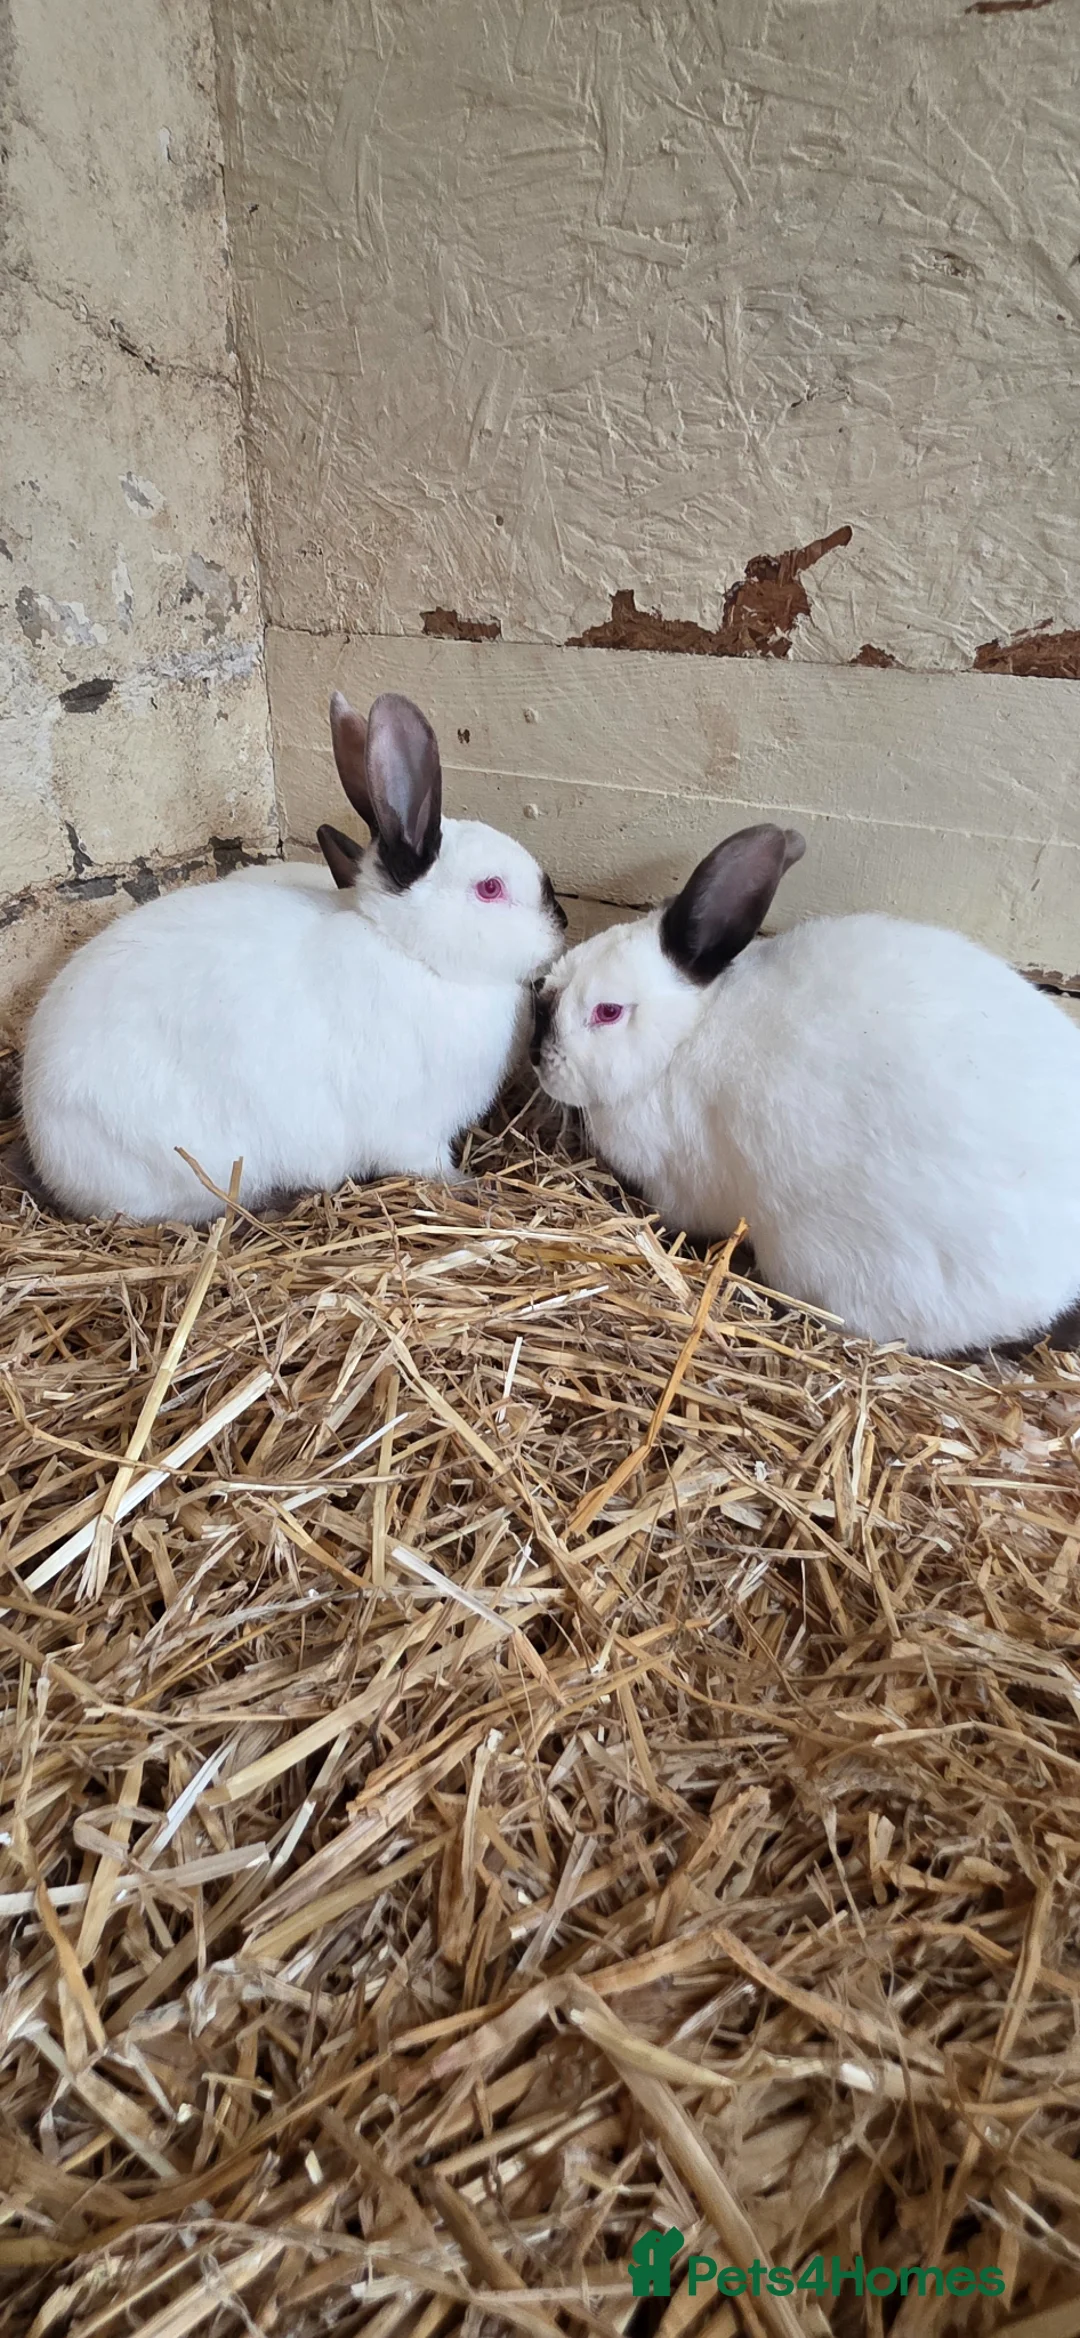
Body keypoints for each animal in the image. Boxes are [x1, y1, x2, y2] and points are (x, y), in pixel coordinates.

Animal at [20, 689, 568, 1224]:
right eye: (491, 888)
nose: (561, 926)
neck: (408, 951)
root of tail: (47, 1152)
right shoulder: (412, 1129)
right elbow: (427, 1163)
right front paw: (471, 1186)